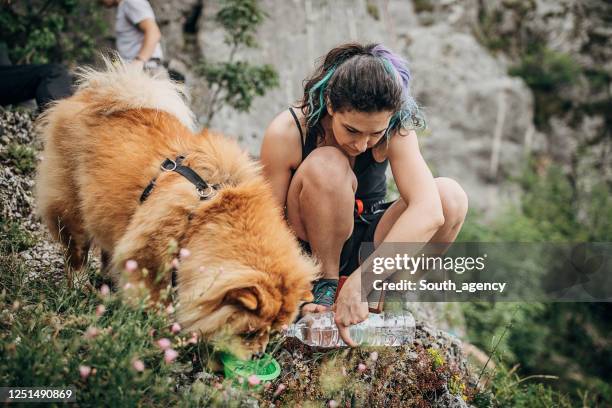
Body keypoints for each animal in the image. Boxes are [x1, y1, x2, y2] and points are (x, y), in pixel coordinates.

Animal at [35, 60, 318, 356]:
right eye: (249, 333)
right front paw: (158, 332)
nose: (258, 354)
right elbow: (156, 301)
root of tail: (89, 96)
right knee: (76, 253)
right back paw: (81, 288)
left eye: (271, 334)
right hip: (70, 207)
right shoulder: (148, 259)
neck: (203, 217)